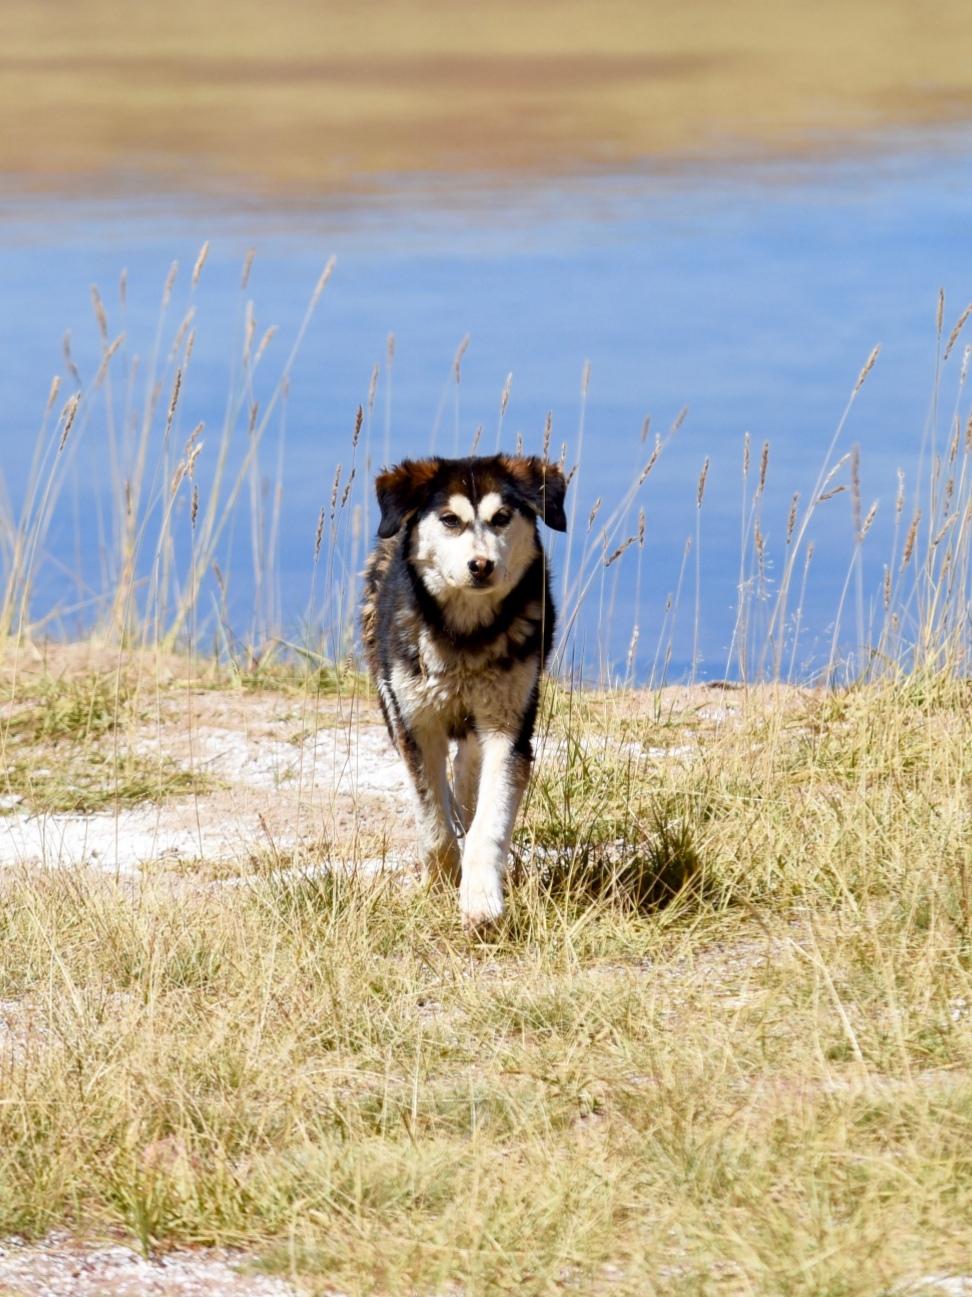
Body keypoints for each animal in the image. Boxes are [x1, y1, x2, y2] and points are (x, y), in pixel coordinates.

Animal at [360, 451, 565, 928]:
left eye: (502, 518)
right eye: (450, 520)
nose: (481, 564)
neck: (465, 635)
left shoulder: (509, 726)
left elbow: (490, 820)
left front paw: (481, 900)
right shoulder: (416, 725)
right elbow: (433, 821)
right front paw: (438, 885)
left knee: (469, 773)